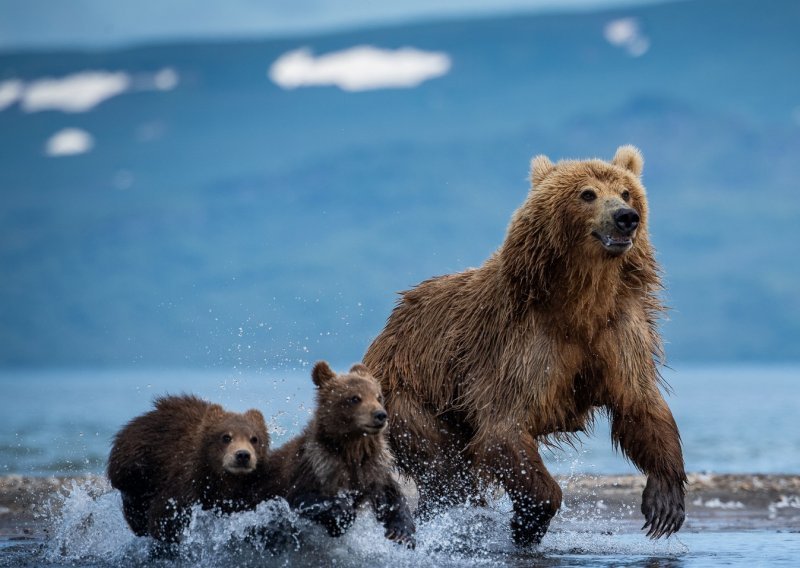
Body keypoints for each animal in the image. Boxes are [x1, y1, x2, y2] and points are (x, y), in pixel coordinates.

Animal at [366, 145, 684, 544]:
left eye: (626, 192)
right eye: (587, 194)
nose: (627, 217)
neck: (580, 302)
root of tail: (387, 329)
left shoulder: (618, 331)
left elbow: (639, 403)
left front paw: (665, 502)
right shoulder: (522, 344)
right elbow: (504, 426)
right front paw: (528, 520)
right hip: (408, 395)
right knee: (443, 466)